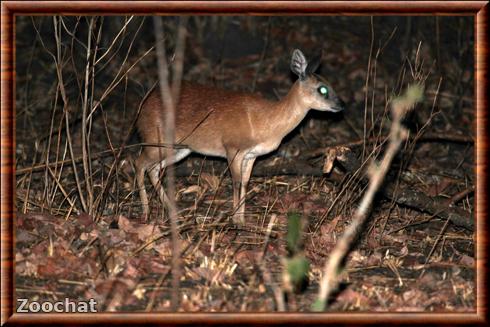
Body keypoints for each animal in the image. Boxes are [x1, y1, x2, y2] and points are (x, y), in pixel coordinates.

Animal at [136, 49, 346, 223]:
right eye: (322, 89)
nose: (341, 105)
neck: (266, 122)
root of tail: (142, 108)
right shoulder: (232, 148)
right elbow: (236, 182)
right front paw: (235, 220)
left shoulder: (251, 155)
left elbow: (245, 182)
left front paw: (243, 220)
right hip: (157, 140)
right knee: (139, 163)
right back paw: (146, 212)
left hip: (179, 149)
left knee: (153, 169)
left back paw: (172, 211)